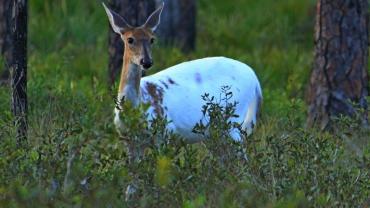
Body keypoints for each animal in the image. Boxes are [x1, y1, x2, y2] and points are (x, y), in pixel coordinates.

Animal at [102, 3, 262, 145]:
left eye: (152, 39)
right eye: (130, 39)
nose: (146, 61)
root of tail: (254, 77)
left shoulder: (165, 131)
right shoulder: (127, 139)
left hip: (234, 117)